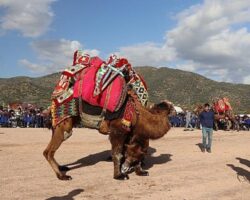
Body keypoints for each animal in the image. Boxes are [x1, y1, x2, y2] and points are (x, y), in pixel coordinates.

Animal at [43, 95, 174, 180]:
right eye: (168, 106)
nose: (174, 109)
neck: (138, 116)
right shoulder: (118, 130)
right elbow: (117, 153)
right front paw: (119, 175)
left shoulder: (130, 134)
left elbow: (133, 152)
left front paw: (141, 172)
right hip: (65, 125)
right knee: (48, 151)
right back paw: (62, 176)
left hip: (57, 127)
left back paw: (62, 168)